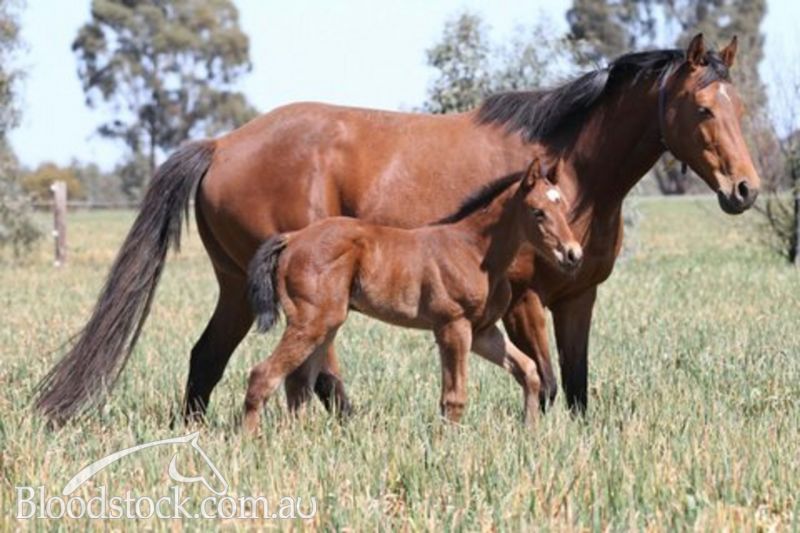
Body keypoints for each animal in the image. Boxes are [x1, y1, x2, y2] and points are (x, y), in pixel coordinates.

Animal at [242, 159, 581, 432]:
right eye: (538, 212)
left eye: (564, 207)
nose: (573, 255)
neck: (474, 250)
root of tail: (293, 238)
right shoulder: (452, 326)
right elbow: (454, 397)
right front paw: (447, 447)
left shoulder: (483, 332)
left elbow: (529, 371)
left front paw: (531, 432)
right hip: (310, 322)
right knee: (263, 376)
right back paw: (249, 442)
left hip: (326, 324)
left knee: (297, 383)